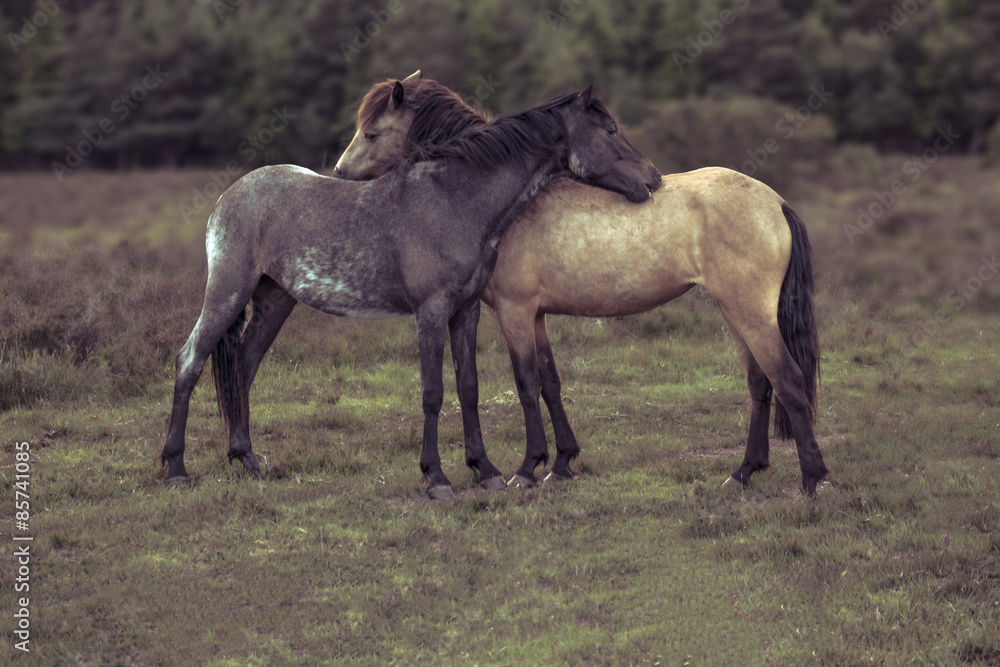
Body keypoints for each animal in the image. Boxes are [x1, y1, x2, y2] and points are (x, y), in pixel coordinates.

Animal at [160, 78, 662, 500]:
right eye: (611, 129)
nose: (653, 179)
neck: (456, 199)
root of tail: (229, 196)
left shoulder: (466, 311)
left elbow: (468, 386)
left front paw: (486, 470)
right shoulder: (431, 312)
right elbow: (433, 392)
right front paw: (436, 478)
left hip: (273, 300)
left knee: (243, 366)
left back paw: (247, 461)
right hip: (228, 292)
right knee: (190, 361)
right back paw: (175, 467)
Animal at [334, 71, 829, 495]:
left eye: (371, 133)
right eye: (609, 130)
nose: (339, 173)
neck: (506, 203)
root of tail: (776, 202)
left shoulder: (514, 311)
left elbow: (525, 383)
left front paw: (527, 469)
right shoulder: (536, 315)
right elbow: (550, 383)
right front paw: (562, 463)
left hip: (750, 313)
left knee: (787, 379)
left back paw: (813, 479)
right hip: (735, 313)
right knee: (760, 383)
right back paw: (744, 472)